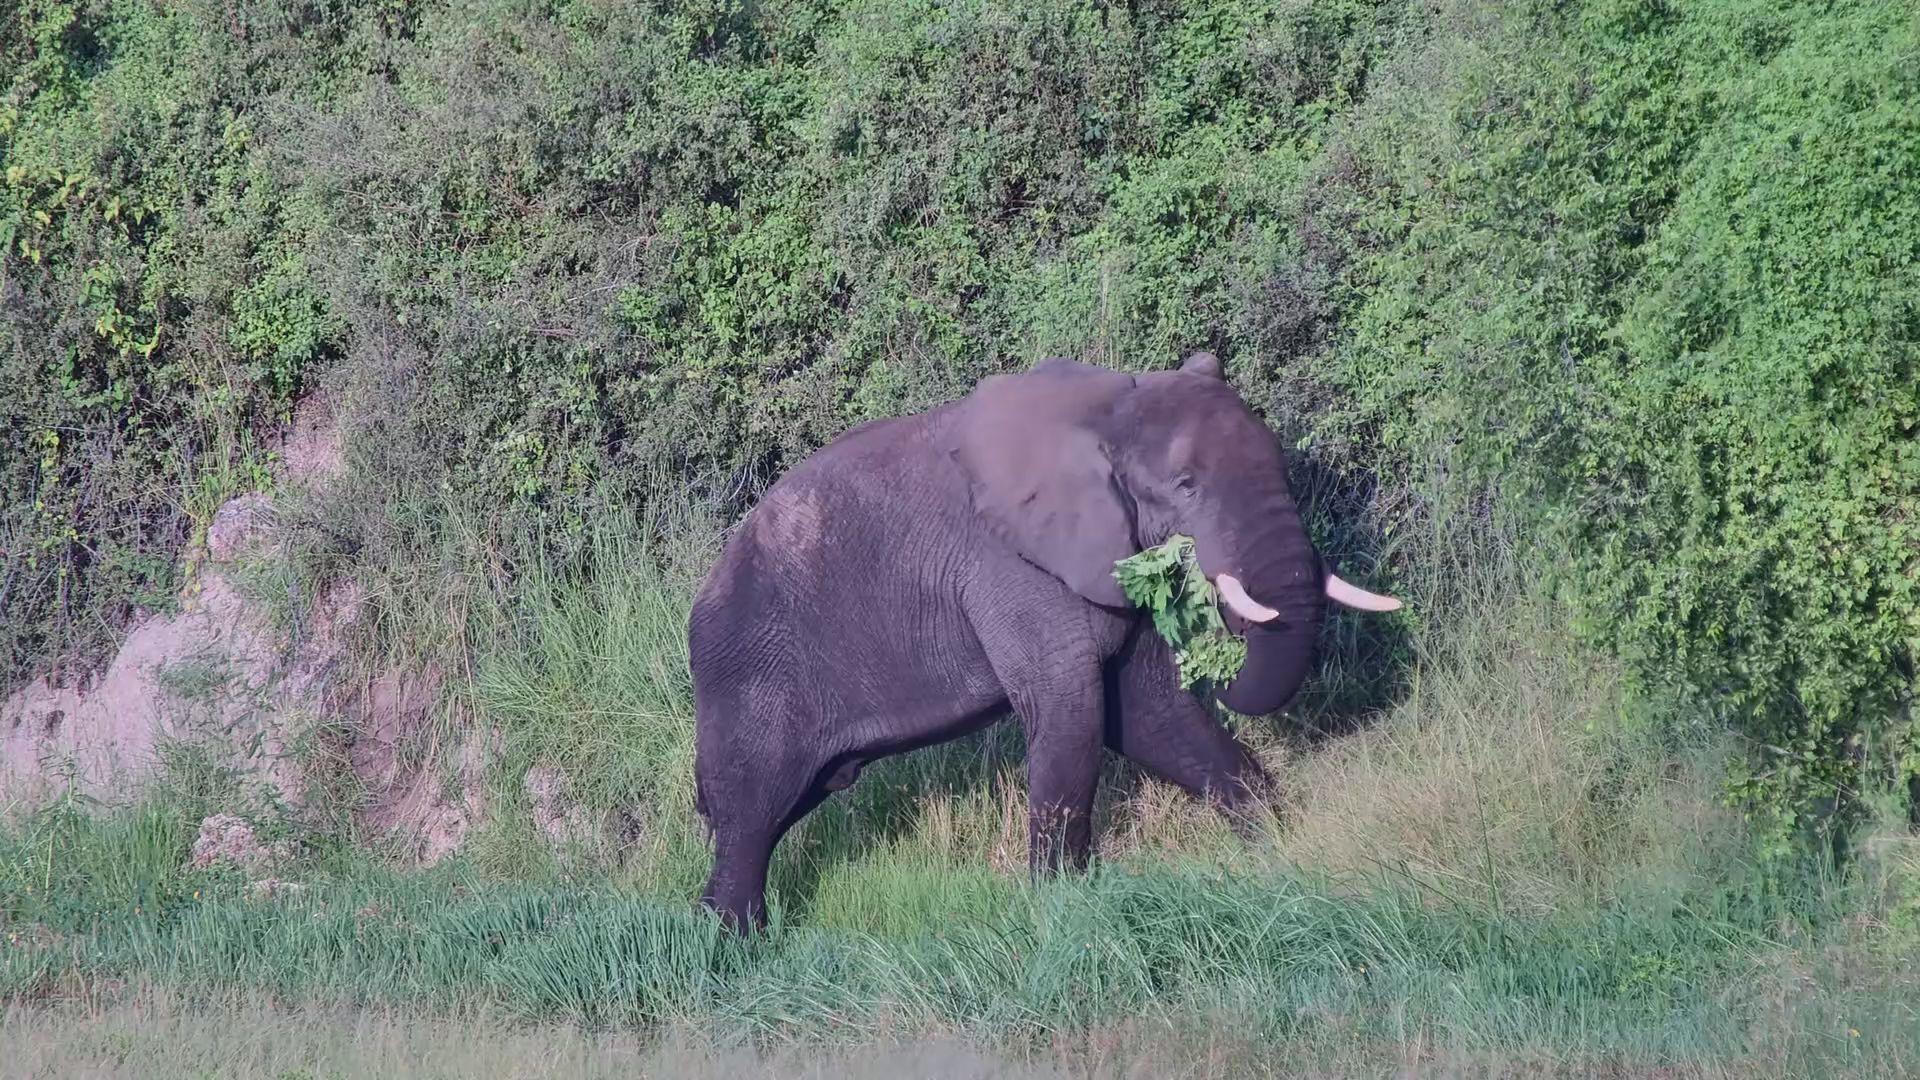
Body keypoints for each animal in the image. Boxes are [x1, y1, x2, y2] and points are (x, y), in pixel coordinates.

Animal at [686, 351, 1401, 931]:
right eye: (1186, 486)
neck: (1107, 412)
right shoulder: (1013, 569)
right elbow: (1072, 708)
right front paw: (1063, 905)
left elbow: (1148, 714)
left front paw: (1277, 847)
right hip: (749, 671)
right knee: (752, 811)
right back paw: (736, 946)